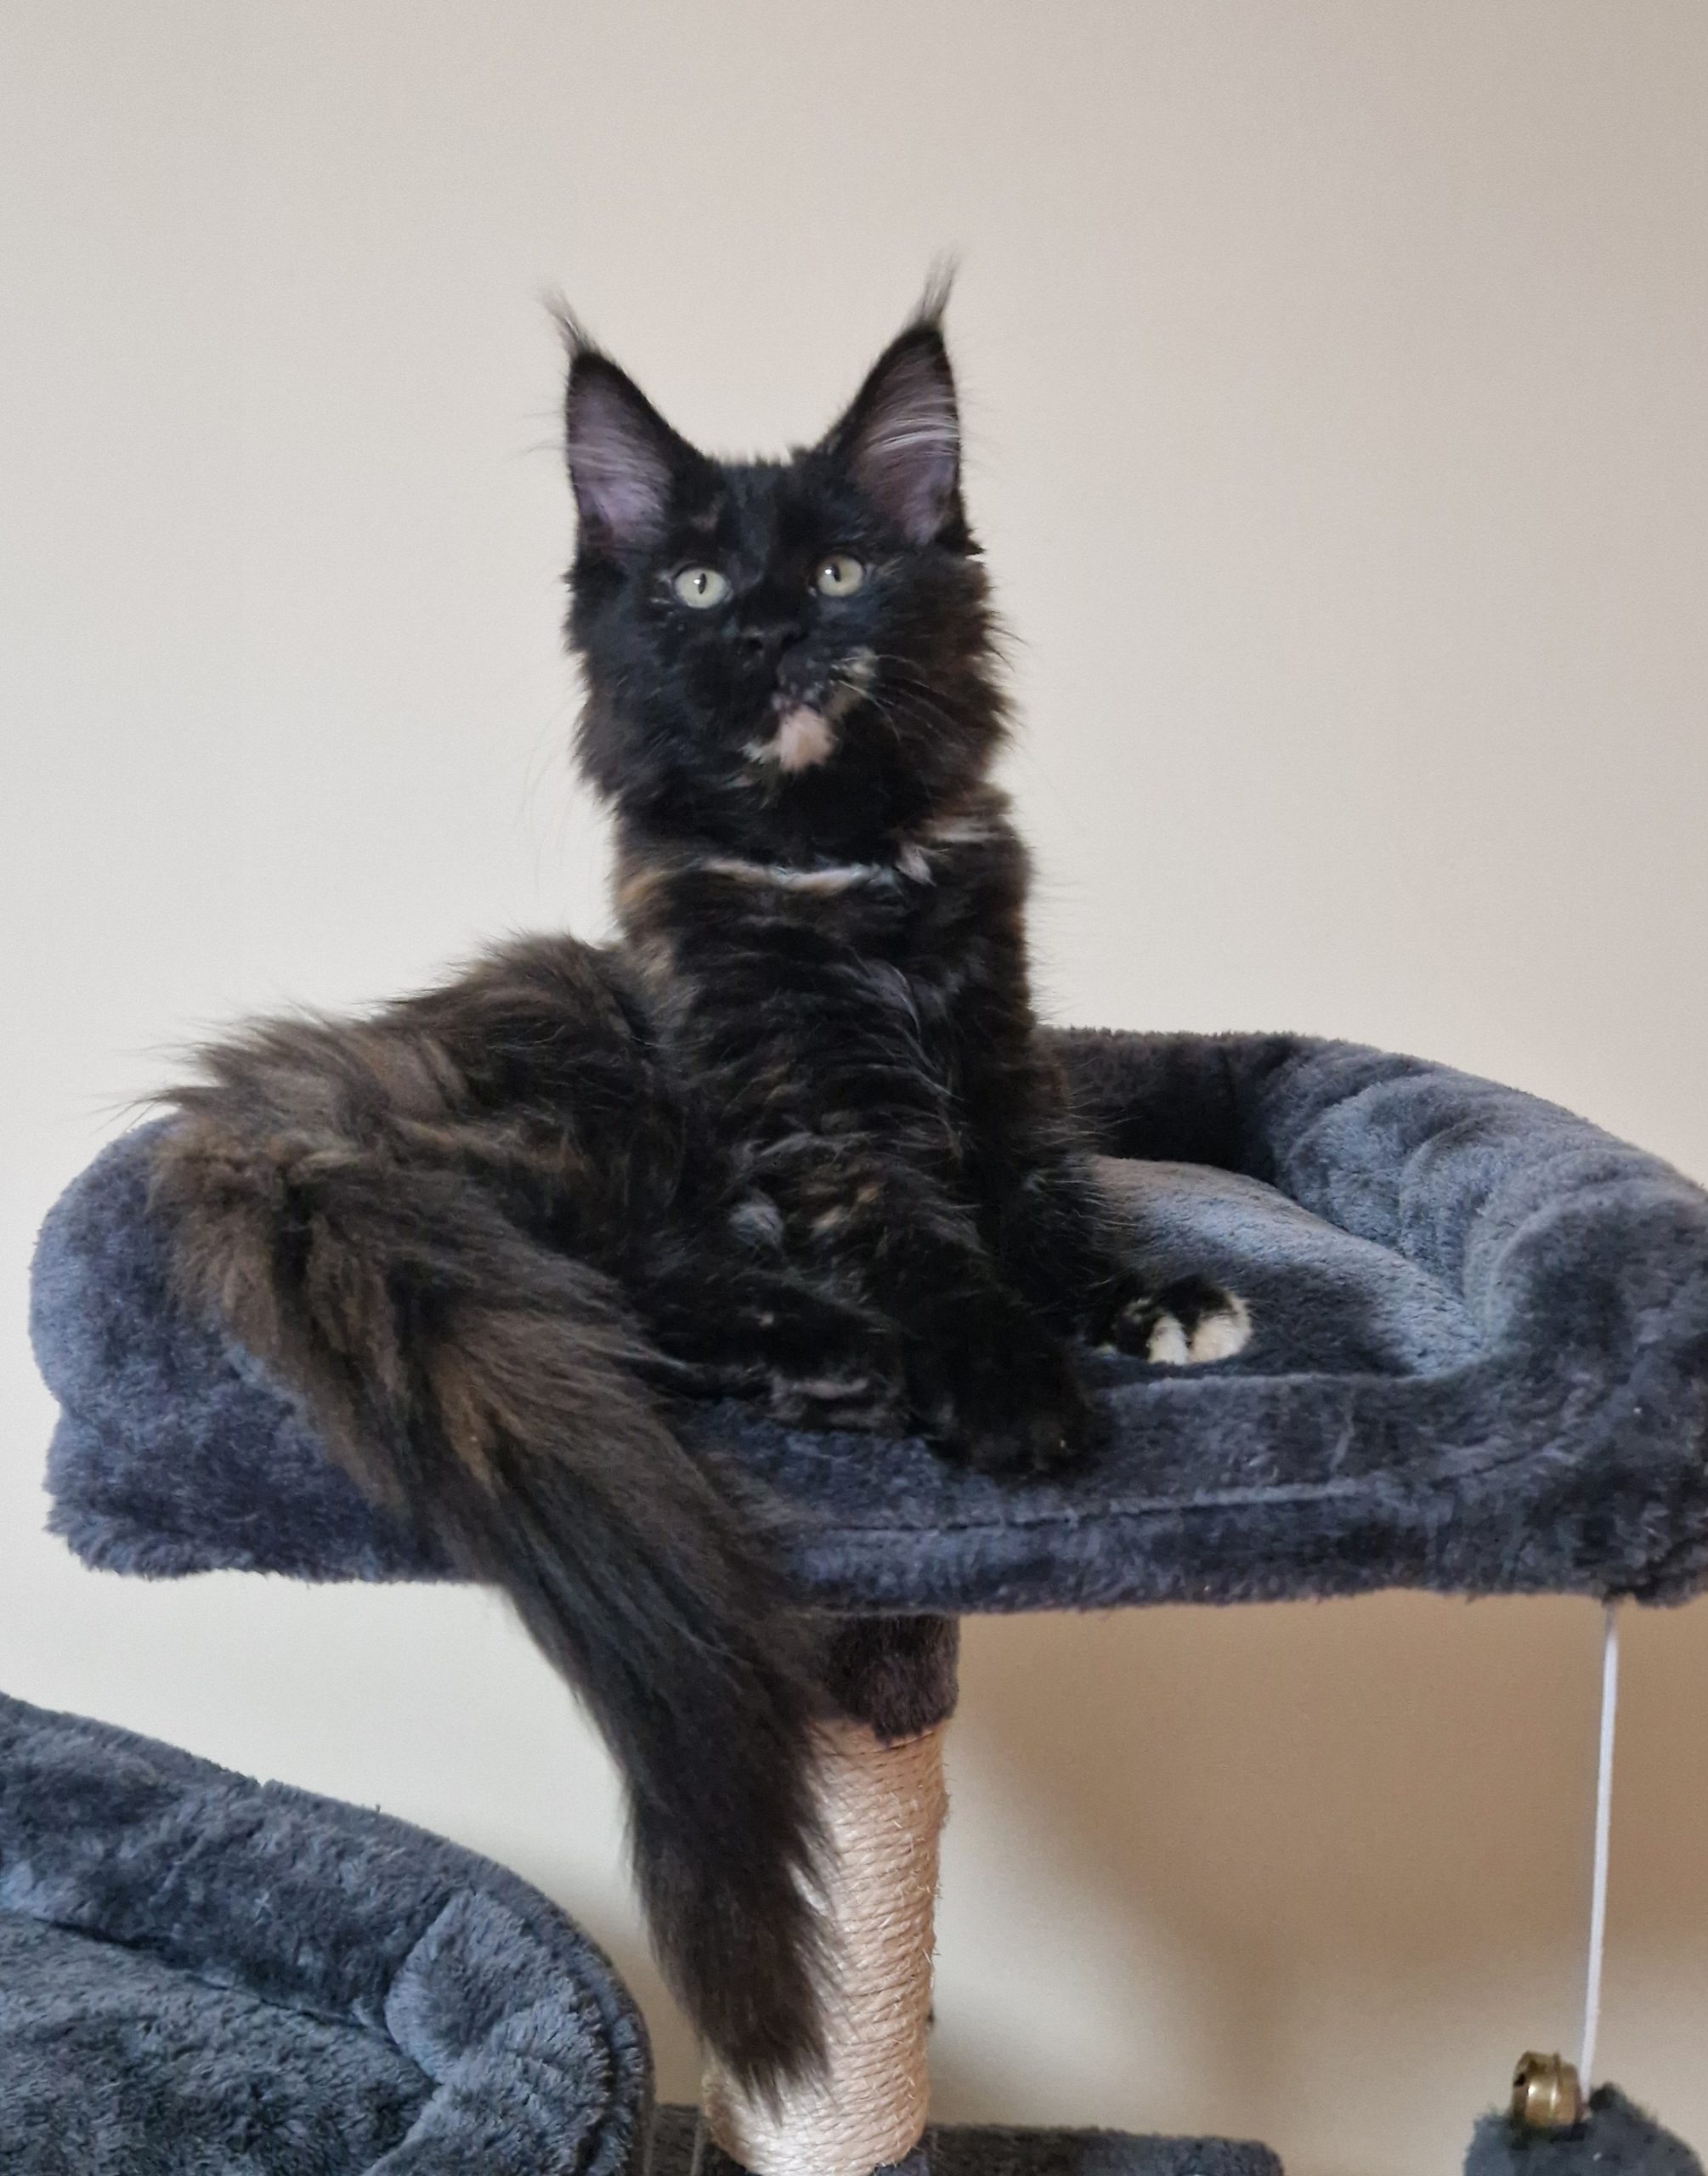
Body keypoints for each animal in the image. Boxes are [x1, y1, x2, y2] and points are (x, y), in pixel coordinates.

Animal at [150, 283, 1251, 2097]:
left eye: (839, 571)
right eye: (693, 589)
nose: (775, 637)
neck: (846, 876)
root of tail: (304, 1092)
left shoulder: (1006, 1075)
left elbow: (1057, 1212)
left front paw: (1151, 1303)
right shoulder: (825, 1131)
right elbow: (942, 1255)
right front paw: (1012, 1382)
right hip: (592, 1117)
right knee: (603, 1287)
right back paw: (838, 1358)